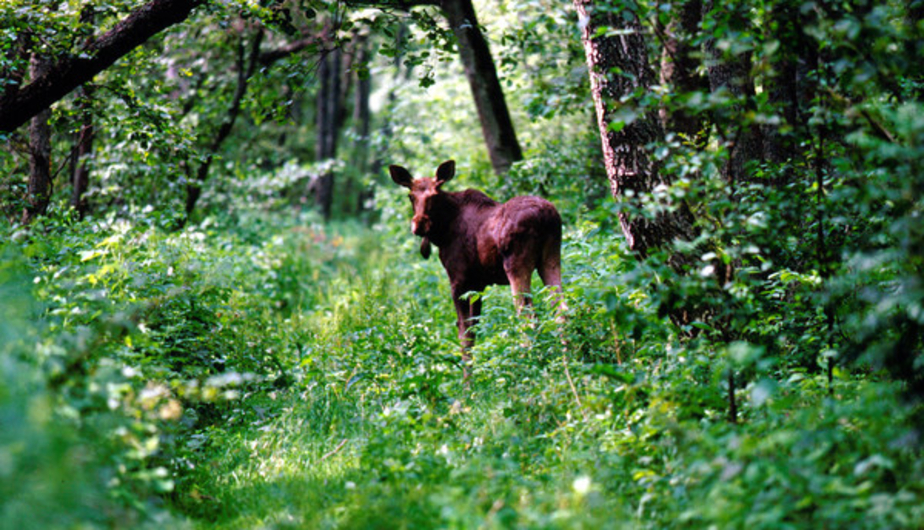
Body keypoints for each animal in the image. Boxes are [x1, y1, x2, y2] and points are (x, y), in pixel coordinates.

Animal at [390, 158, 564, 376]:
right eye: (410, 196)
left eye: (434, 195)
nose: (419, 225)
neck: (442, 232)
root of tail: (546, 218)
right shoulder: (478, 285)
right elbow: (473, 331)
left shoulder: (459, 281)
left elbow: (464, 335)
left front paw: (467, 382)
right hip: (551, 258)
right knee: (560, 308)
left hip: (516, 265)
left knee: (527, 316)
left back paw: (529, 367)